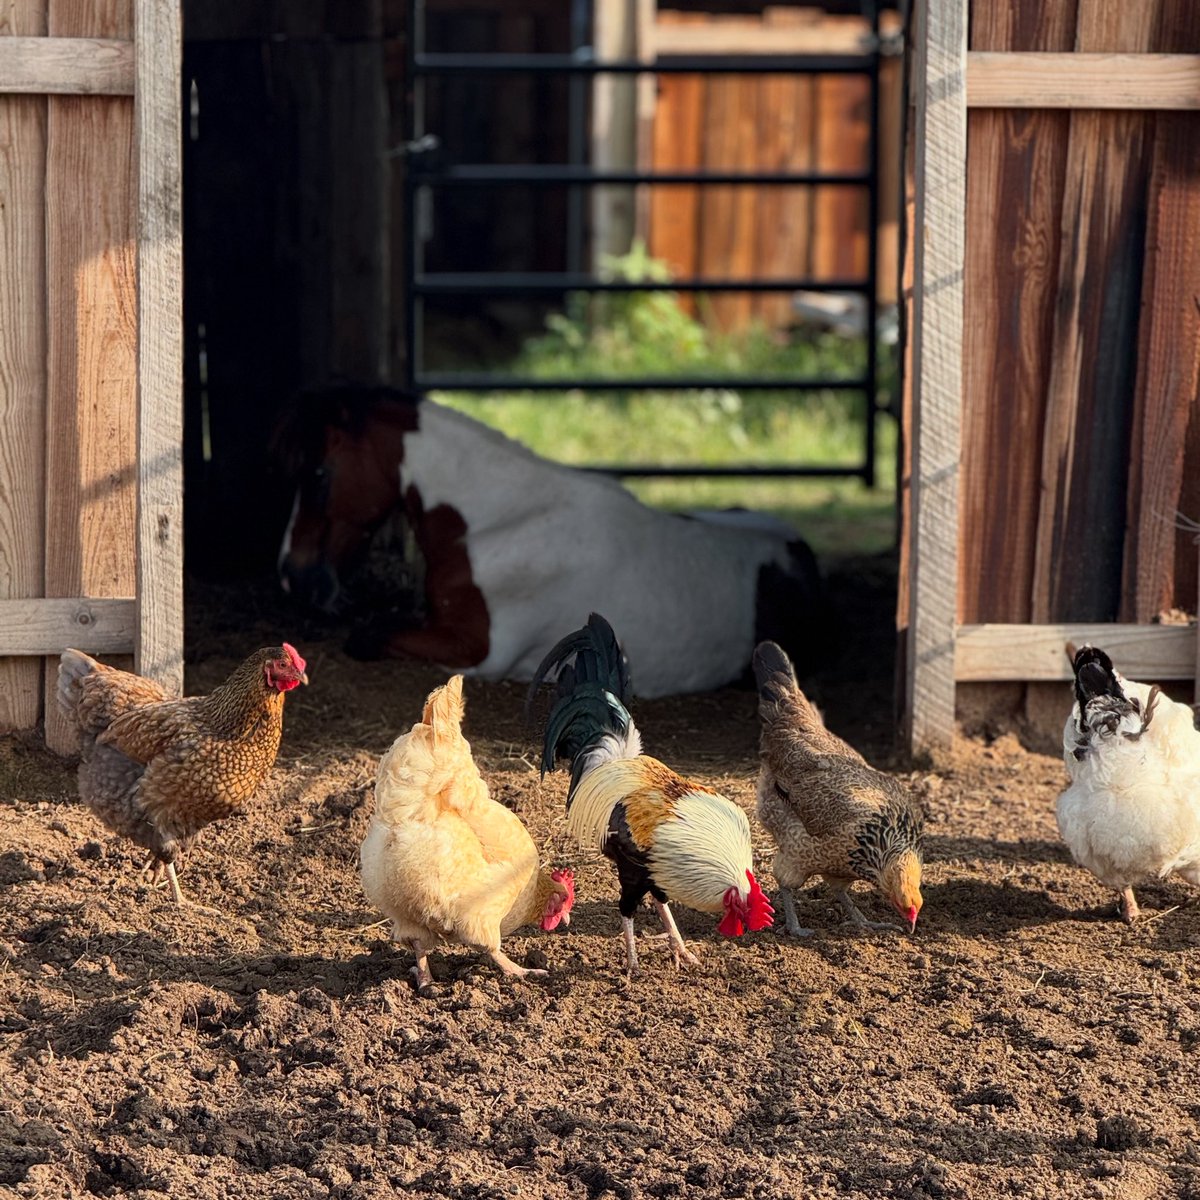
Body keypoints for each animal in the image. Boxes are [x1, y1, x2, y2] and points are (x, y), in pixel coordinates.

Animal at [276, 385, 835, 697]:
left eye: (319, 473)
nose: (291, 576)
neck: (499, 521)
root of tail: (798, 548)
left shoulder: (474, 652)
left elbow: (366, 635)